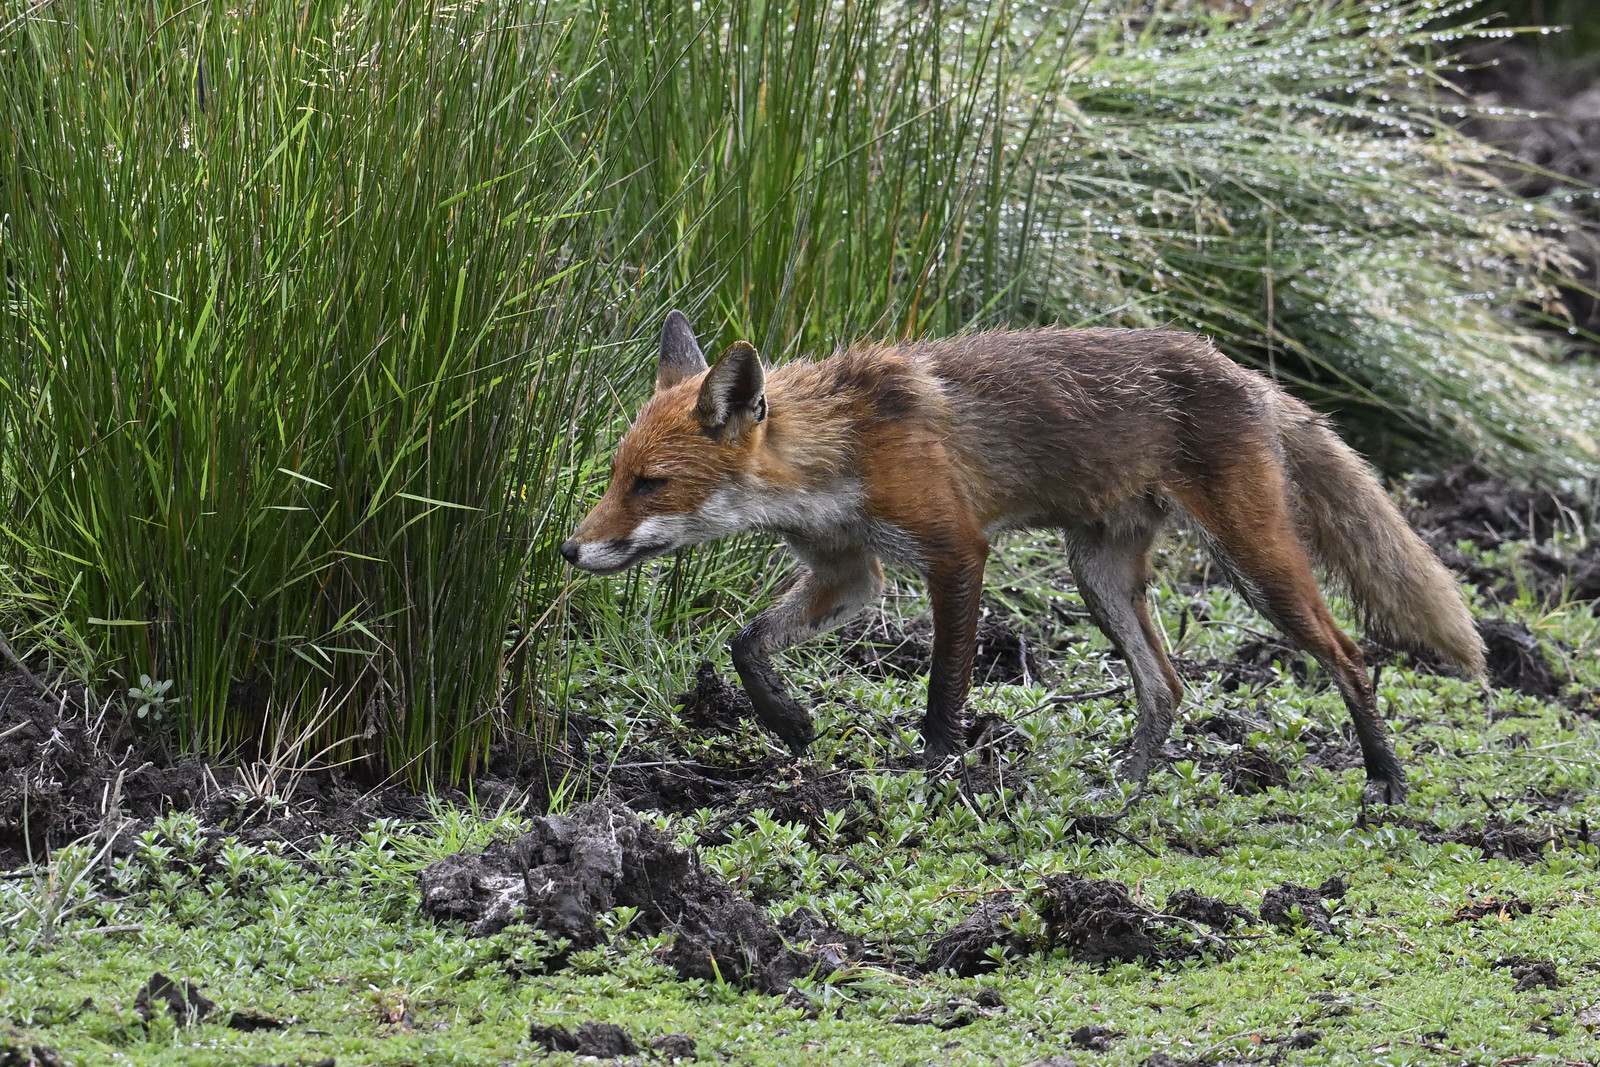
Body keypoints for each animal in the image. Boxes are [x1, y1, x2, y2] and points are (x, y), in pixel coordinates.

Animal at [561, 311, 1487, 804]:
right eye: (614, 475)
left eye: (650, 483)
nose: (570, 547)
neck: (841, 449)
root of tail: (1244, 373)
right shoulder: (850, 570)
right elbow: (746, 643)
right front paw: (789, 721)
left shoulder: (954, 551)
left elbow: (943, 695)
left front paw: (934, 783)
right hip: (1099, 576)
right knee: (1166, 685)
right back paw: (1123, 794)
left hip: (1254, 564)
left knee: (1351, 654)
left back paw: (1386, 778)